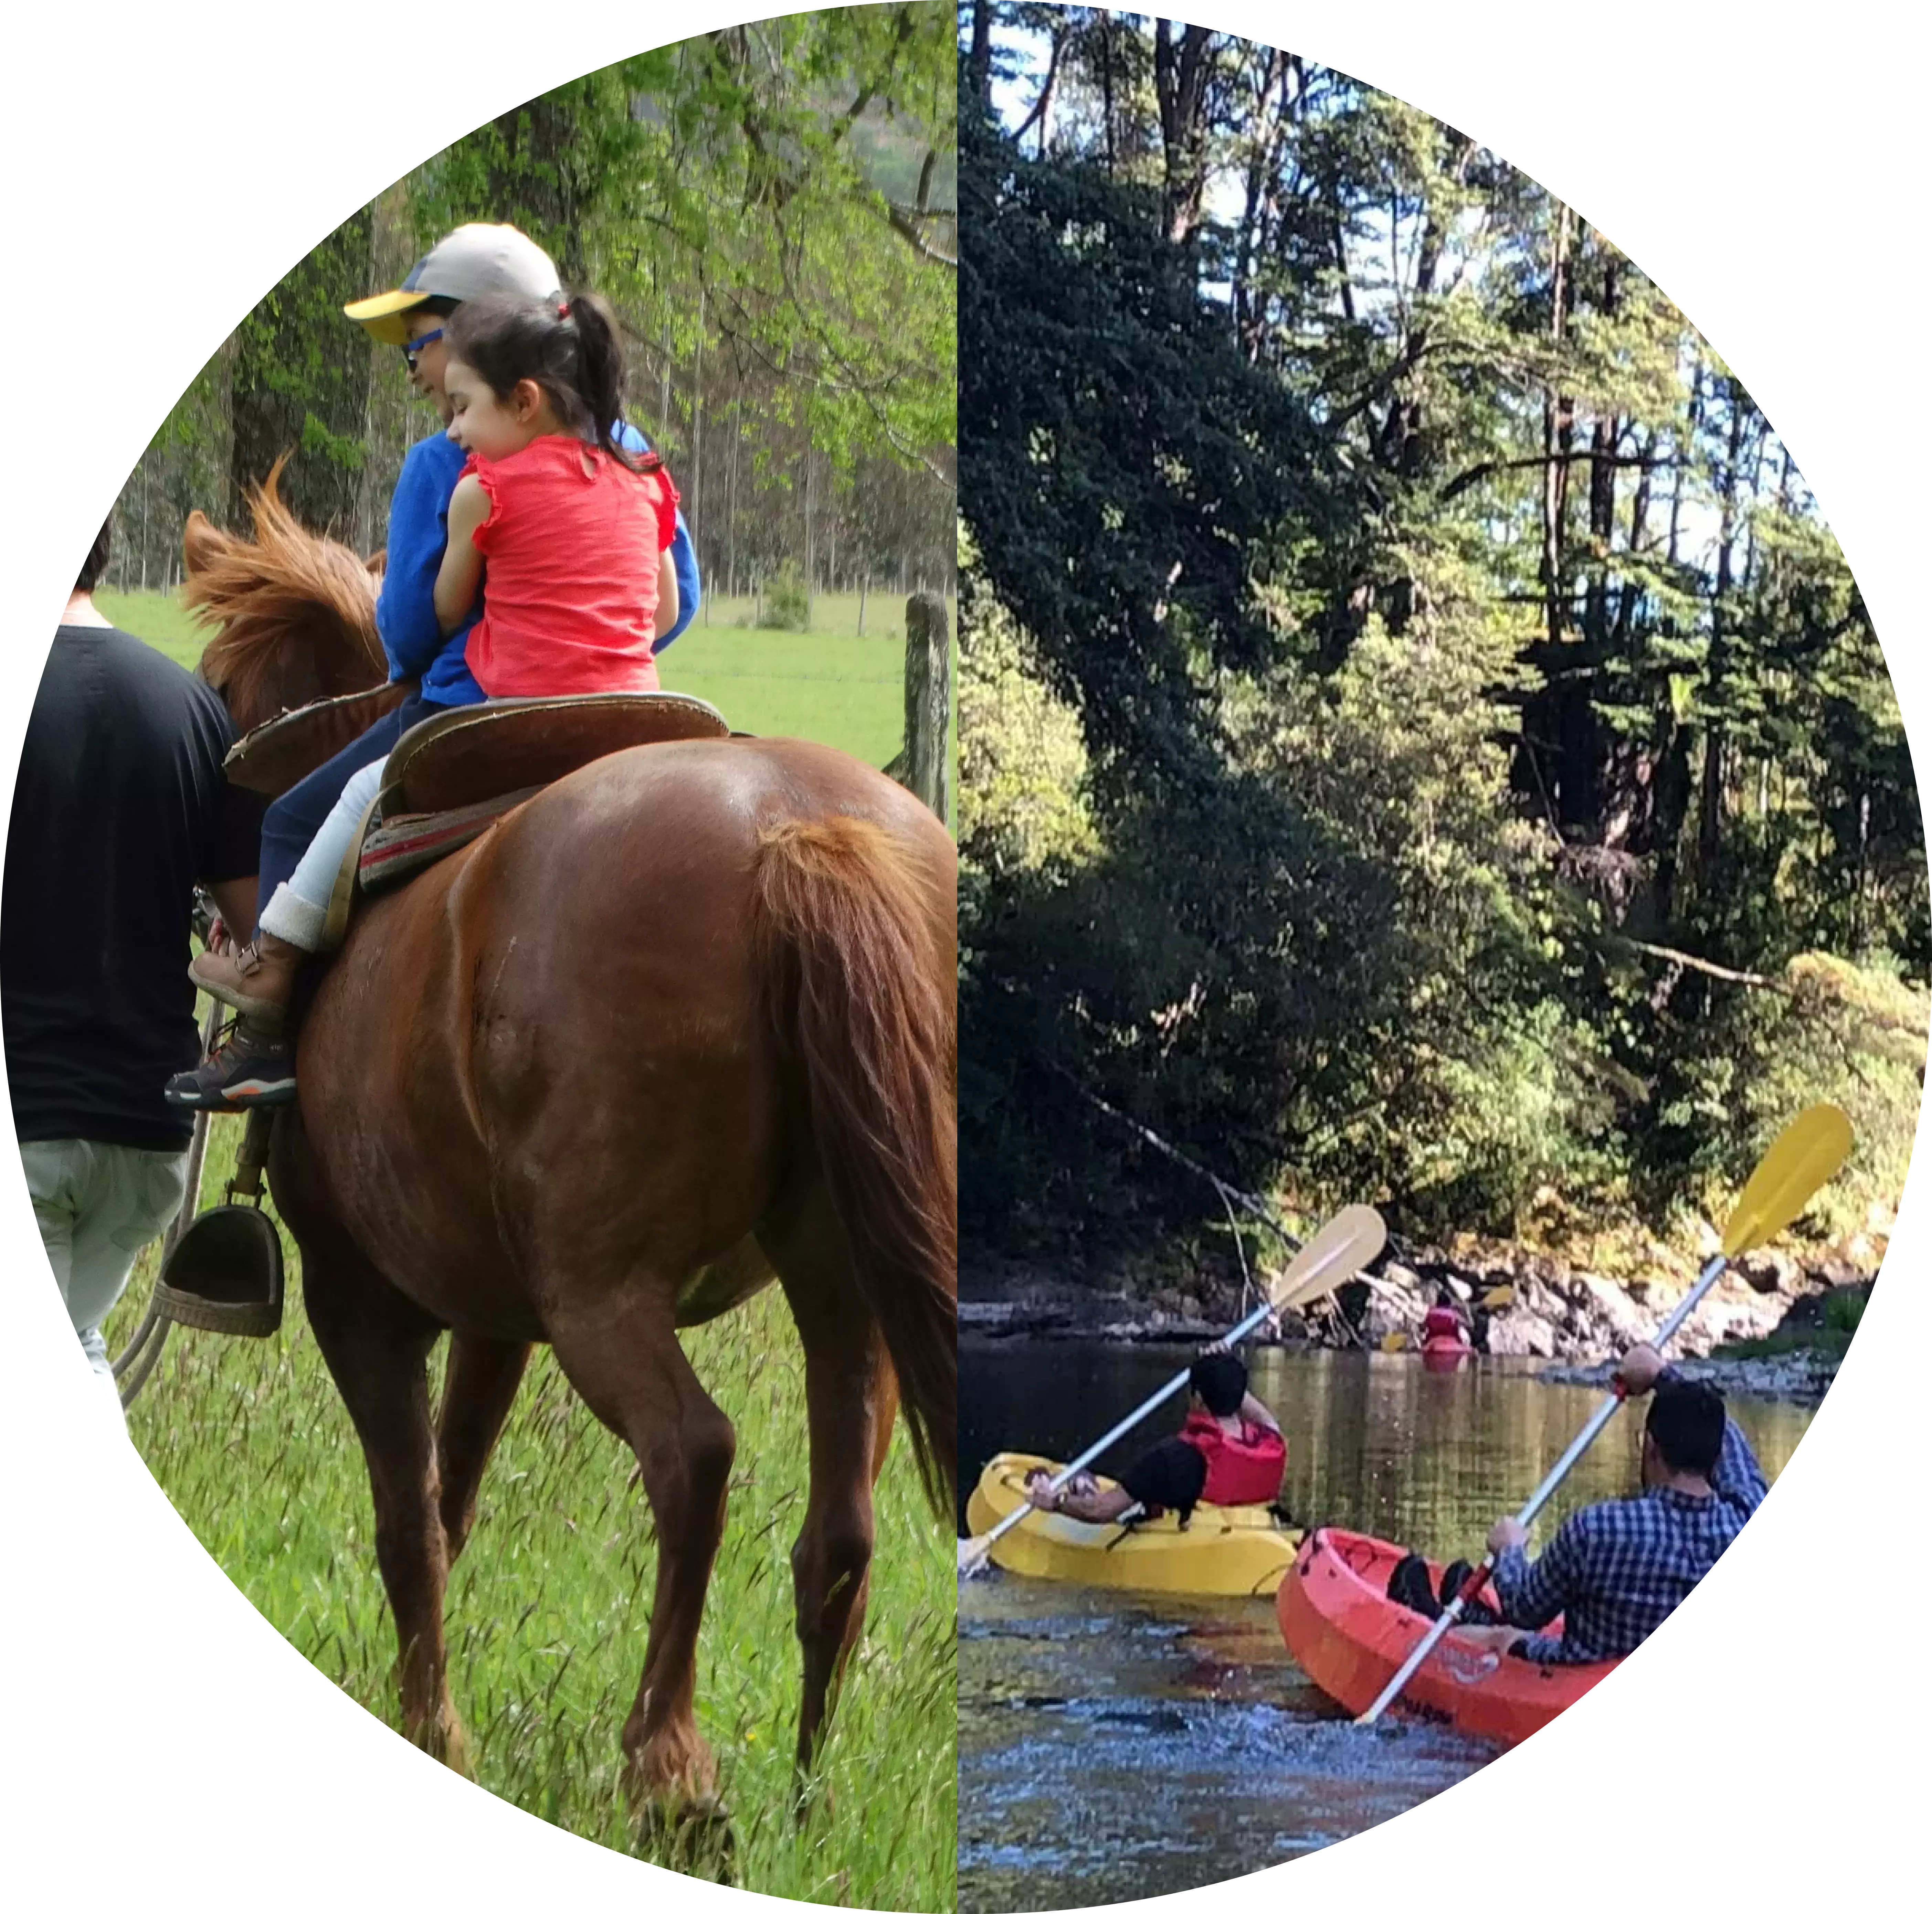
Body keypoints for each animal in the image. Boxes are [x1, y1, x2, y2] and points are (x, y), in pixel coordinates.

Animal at [180, 464, 958, 1823]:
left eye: (226, 684)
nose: (212, 913)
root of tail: (803, 837)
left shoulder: (360, 1299)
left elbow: (408, 1524)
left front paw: (436, 1729)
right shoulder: (498, 1315)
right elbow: (452, 1505)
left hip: (606, 1291)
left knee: (693, 1457)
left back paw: (670, 1765)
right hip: (839, 1279)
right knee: (841, 1530)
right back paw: (802, 1795)